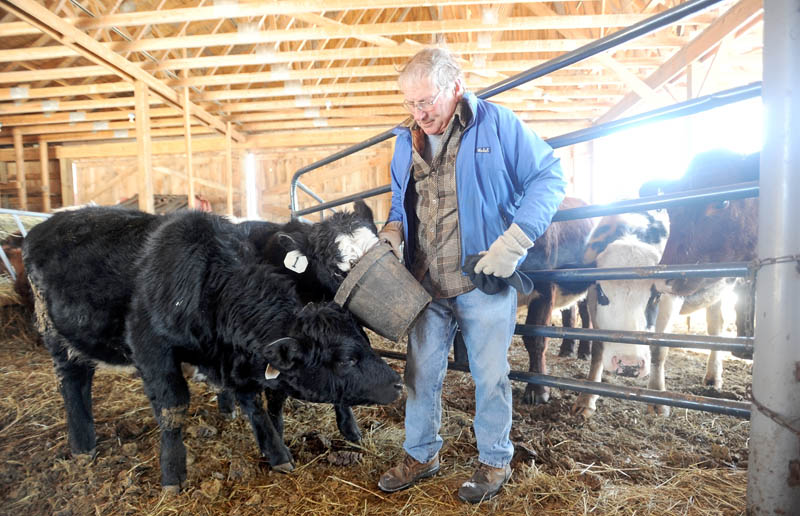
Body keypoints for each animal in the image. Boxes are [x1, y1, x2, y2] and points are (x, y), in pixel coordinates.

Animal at [23, 206, 402, 492]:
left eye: (389, 252)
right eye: (337, 266)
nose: (398, 383)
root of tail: (43, 227)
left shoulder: (244, 356)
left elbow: (259, 398)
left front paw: (281, 448)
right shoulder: (150, 346)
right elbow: (173, 407)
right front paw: (173, 474)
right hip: (54, 332)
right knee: (72, 381)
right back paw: (82, 446)